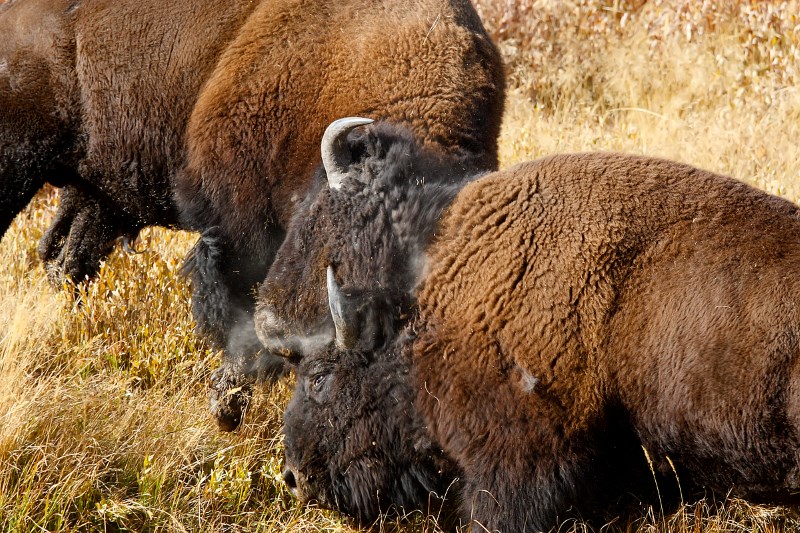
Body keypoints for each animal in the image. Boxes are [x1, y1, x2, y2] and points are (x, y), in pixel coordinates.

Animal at [1, 0, 506, 428]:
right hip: (21, 165)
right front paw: (225, 408)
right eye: (318, 223)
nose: (282, 334)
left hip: (97, 196)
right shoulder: (237, 226)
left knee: (65, 260)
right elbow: (235, 306)